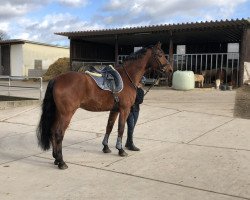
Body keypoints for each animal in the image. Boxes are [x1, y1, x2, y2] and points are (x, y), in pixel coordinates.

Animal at [37, 42, 173, 169]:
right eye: (160, 55)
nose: (170, 69)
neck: (127, 77)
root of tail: (56, 79)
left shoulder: (114, 110)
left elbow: (109, 127)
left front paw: (106, 147)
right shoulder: (124, 109)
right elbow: (121, 128)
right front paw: (121, 150)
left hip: (58, 113)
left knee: (52, 131)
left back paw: (56, 158)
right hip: (66, 114)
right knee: (59, 133)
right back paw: (61, 162)